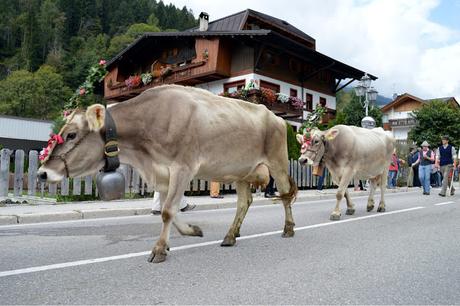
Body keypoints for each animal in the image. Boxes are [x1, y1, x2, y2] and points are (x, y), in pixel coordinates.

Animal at [38, 84, 298, 262]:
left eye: (71, 135)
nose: (42, 172)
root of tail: (275, 116)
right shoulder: (161, 174)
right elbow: (167, 210)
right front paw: (192, 231)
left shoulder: (183, 167)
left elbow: (167, 211)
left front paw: (159, 249)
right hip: (241, 171)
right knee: (244, 202)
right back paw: (230, 236)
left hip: (277, 162)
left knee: (285, 195)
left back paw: (288, 229)